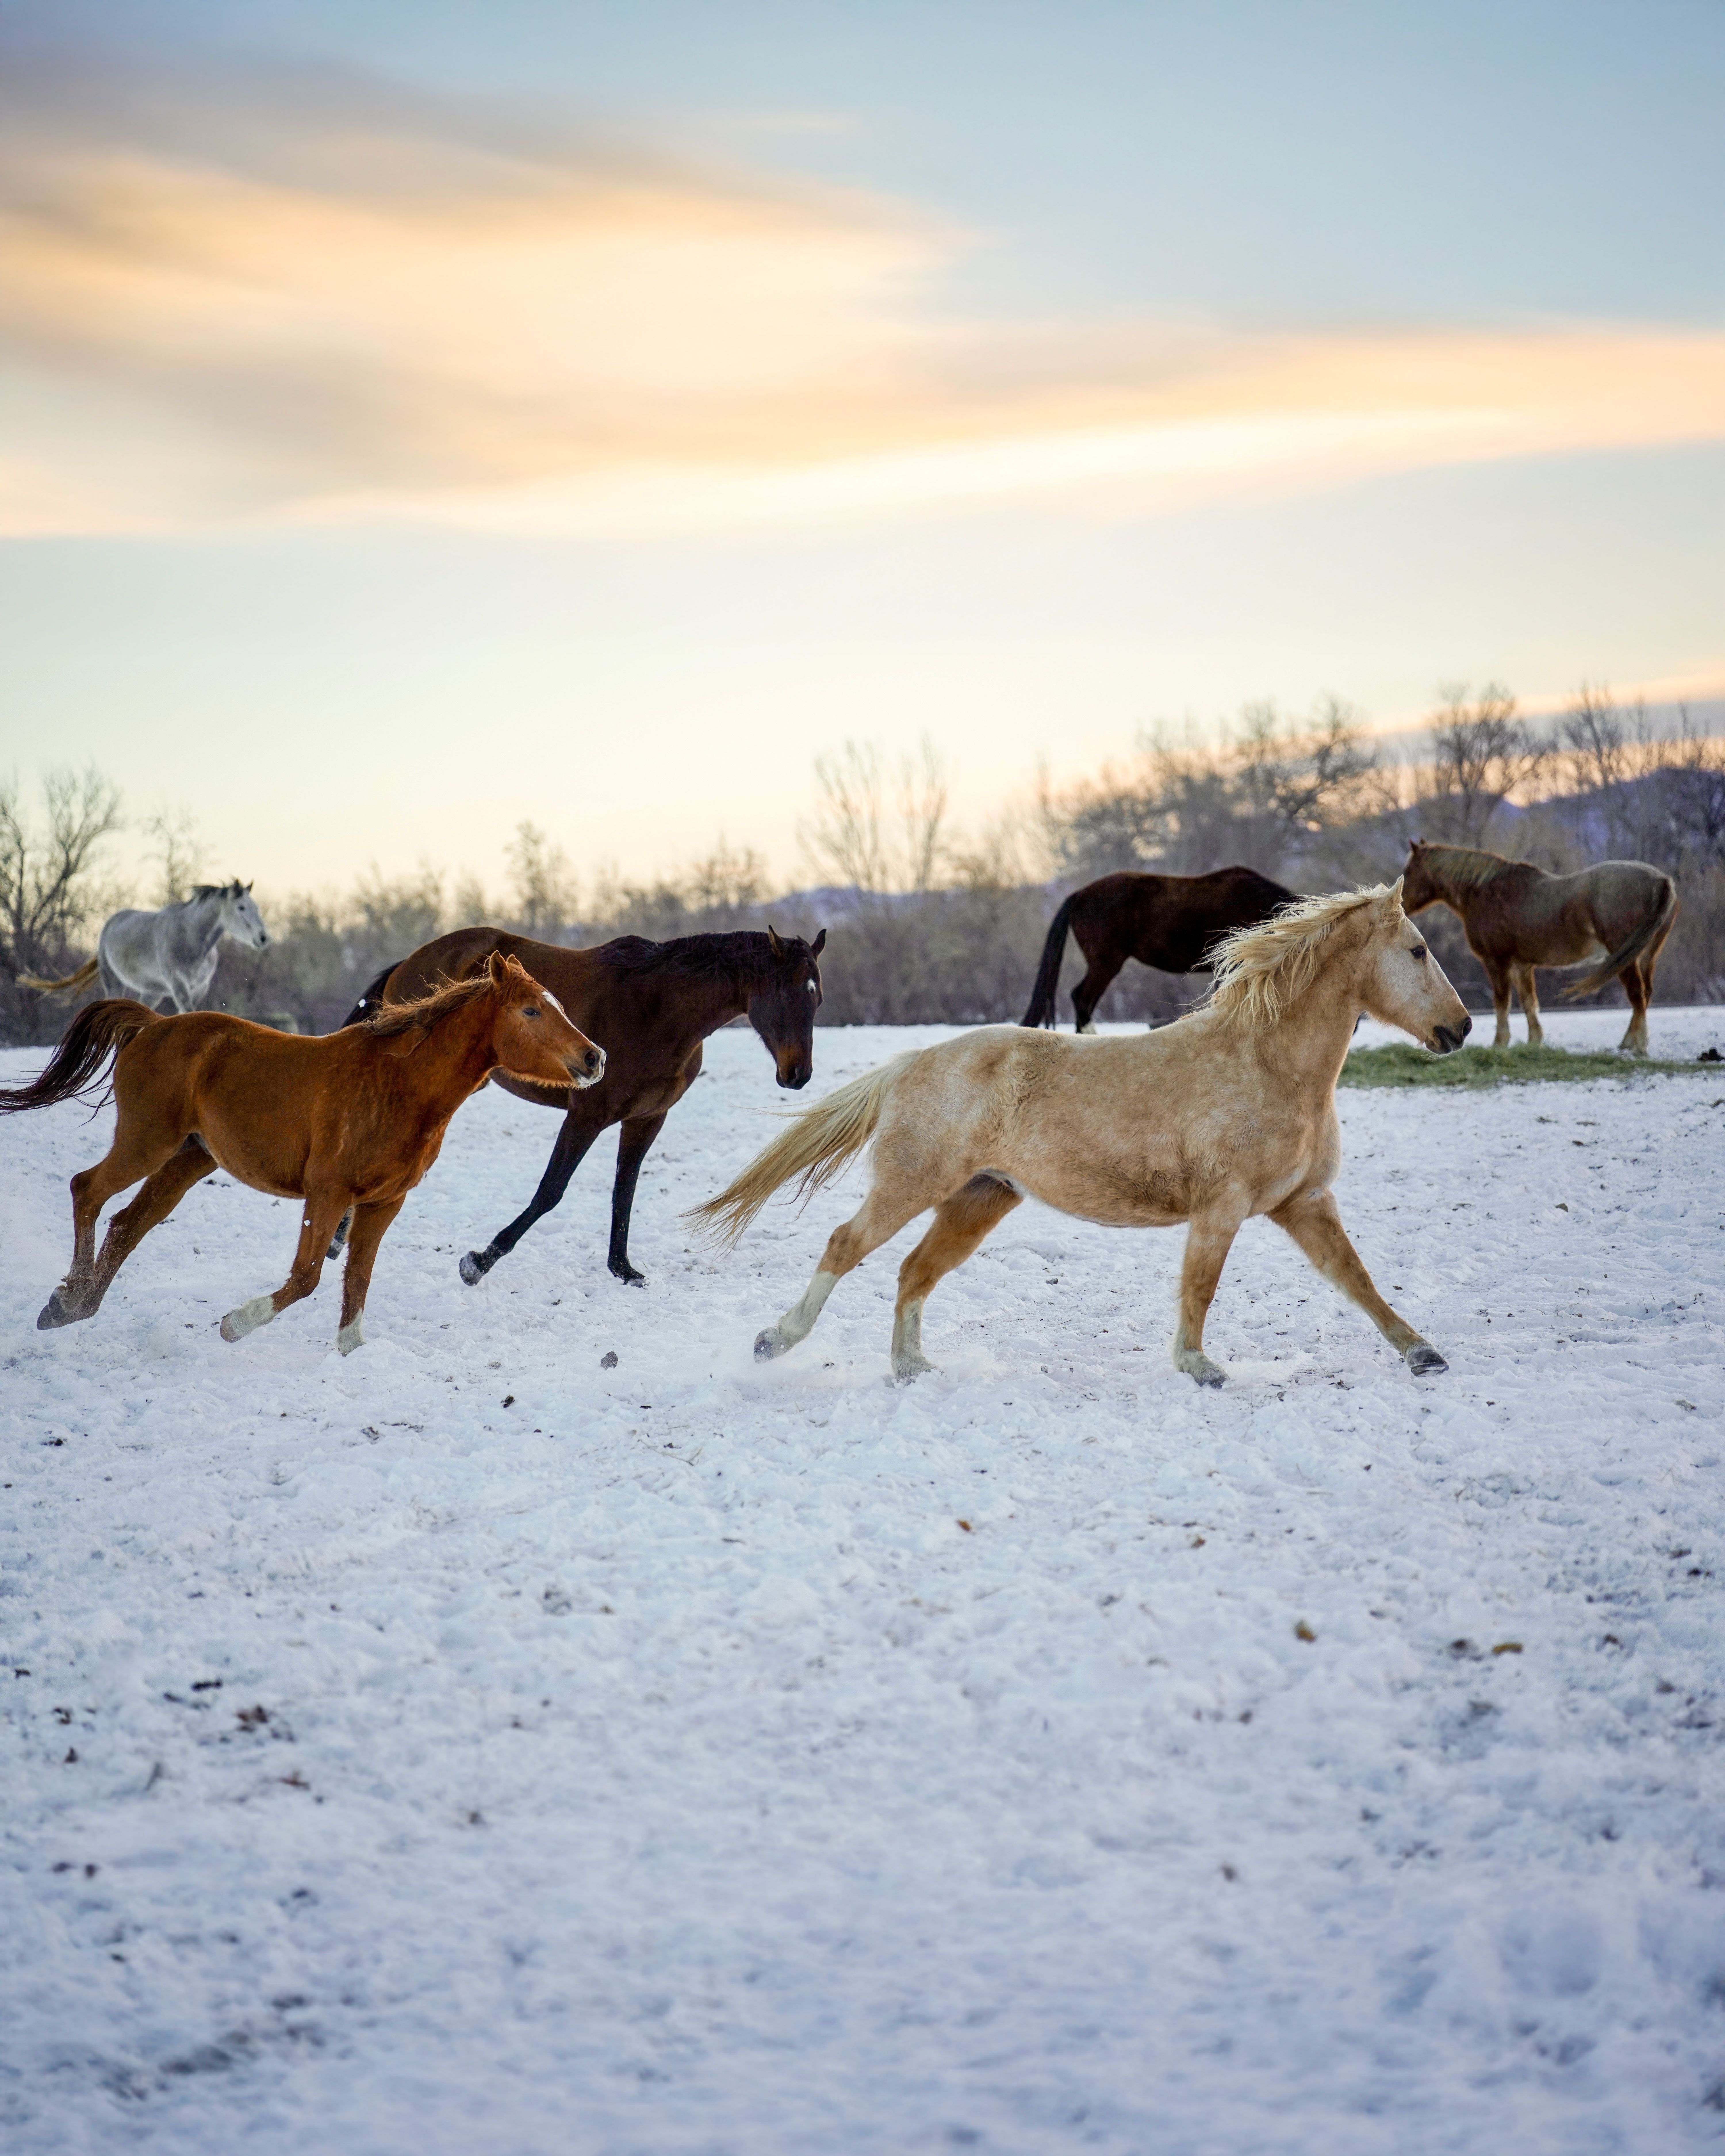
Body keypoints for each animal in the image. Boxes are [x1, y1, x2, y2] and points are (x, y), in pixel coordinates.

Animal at [0, 953, 603, 1353]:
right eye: (530, 1012)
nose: (595, 1058)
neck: (402, 1085)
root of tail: (152, 1026)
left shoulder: (383, 1203)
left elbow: (356, 1285)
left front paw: (349, 1352)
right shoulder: (328, 1193)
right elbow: (308, 1277)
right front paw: (235, 1323)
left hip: (191, 1158)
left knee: (129, 1223)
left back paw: (75, 1307)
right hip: (147, 1142)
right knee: (87, 1191)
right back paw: (69, 1300)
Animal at [21, 882, 271, 1013]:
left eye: (257, 907)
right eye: (241, 908)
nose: (263, 938)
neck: (192, 941)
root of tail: (111, 924)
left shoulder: (200, 988)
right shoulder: (179, 986)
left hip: (152, 993)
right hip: (113, 983)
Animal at [339, 923, 826, 1288]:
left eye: (817, 998)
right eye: (787, 995)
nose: (798, 1075)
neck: (659, 1011)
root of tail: (409, 963)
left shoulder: (646, 1120)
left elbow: (624, 1192)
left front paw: (624, 1270)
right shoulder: (586, 1117)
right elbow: (551, 1191)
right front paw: (479, 1262)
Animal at [693, 882, 1469, 1389]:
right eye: (1417, 949)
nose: (1458, 1029)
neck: (1267, 1064)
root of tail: (912, 1062)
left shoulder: (1304, 1204)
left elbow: (1356, 1278)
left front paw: (1423, 1354)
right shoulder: (1222, 1208)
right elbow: (1201, 1286)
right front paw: (1199, 1367)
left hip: (979, 1199)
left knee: (914, 1272)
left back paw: (913, 1369)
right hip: (913, 1185)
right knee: (845, 1246)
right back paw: (775, 1341)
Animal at [1399, 840, 1677, 1054]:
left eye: (1409, 871)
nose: (1401, 908)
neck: (1485, 892)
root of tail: (1660, 880)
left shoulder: (1496, 961)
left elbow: (1502, 1003)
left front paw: (1500, 1044)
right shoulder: (1522, 965)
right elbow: (1528, 1003)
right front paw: (1534, 1043)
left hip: (1626, 957)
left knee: (1637, 995)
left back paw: (1638, 1046)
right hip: (1645, 956)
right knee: (1644, 995)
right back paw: (1628, 1043)